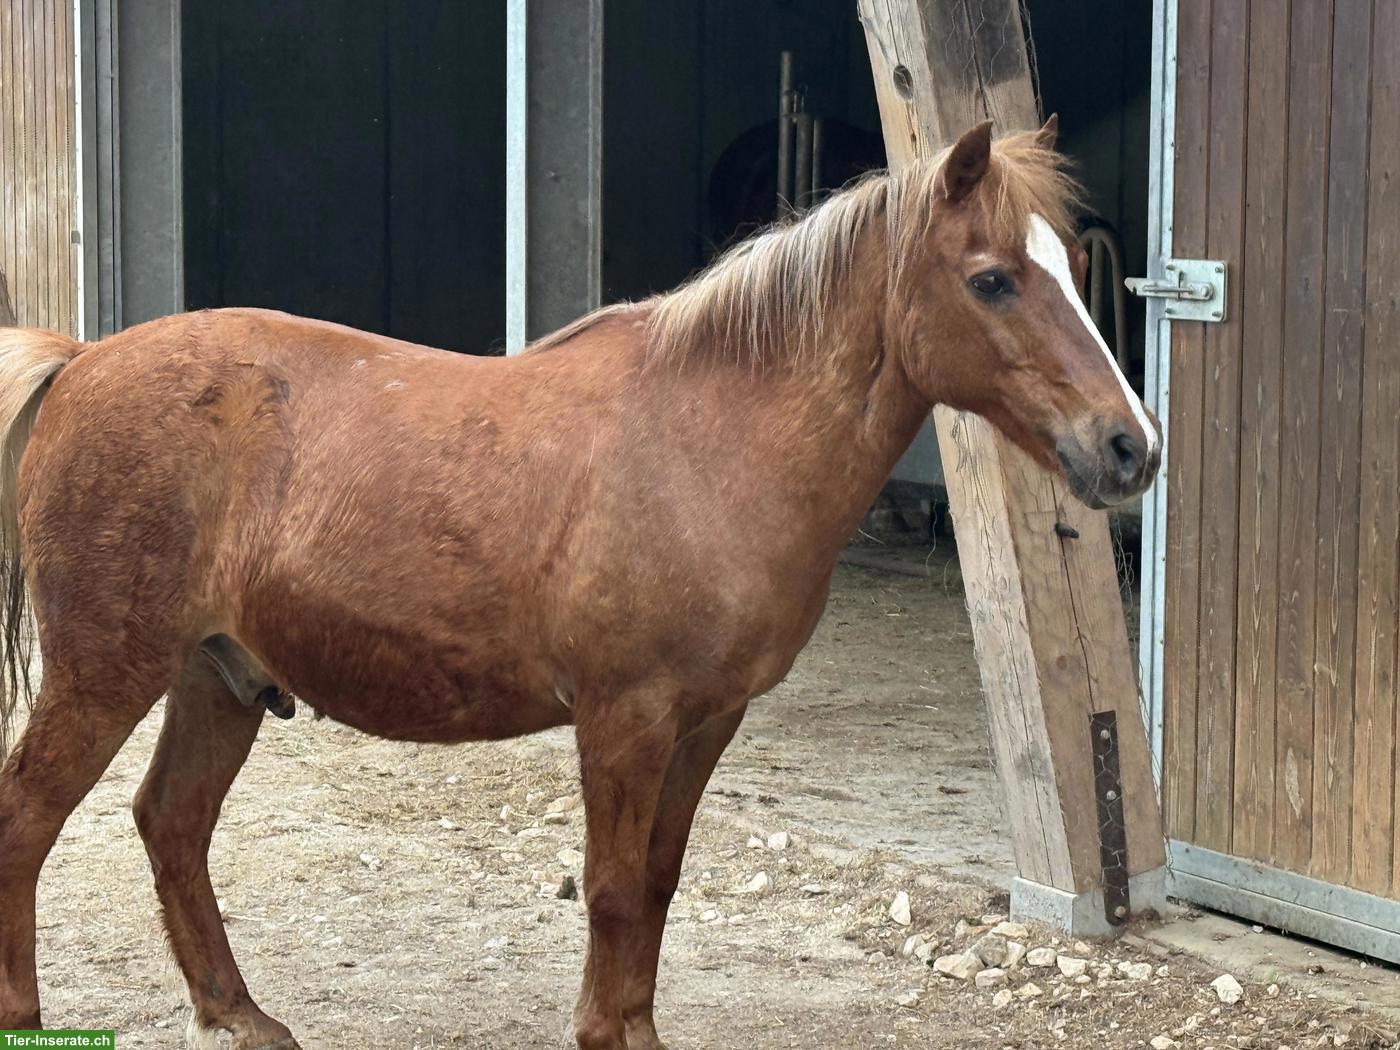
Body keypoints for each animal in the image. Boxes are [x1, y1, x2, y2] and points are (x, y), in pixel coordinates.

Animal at [0, 118, 1159, 1050]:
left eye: (1068, 264)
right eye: (992, 278)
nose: (1129, 449)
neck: (709, 441)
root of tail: (83, 360)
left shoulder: (708, 720)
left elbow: (654, 882)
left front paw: (636, 1027)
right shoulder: (625, 717)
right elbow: (607, 889)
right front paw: (605, 1032)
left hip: (218, 678)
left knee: (171, 824)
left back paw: (238, 1014)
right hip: (105, 675)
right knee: (29, 817)